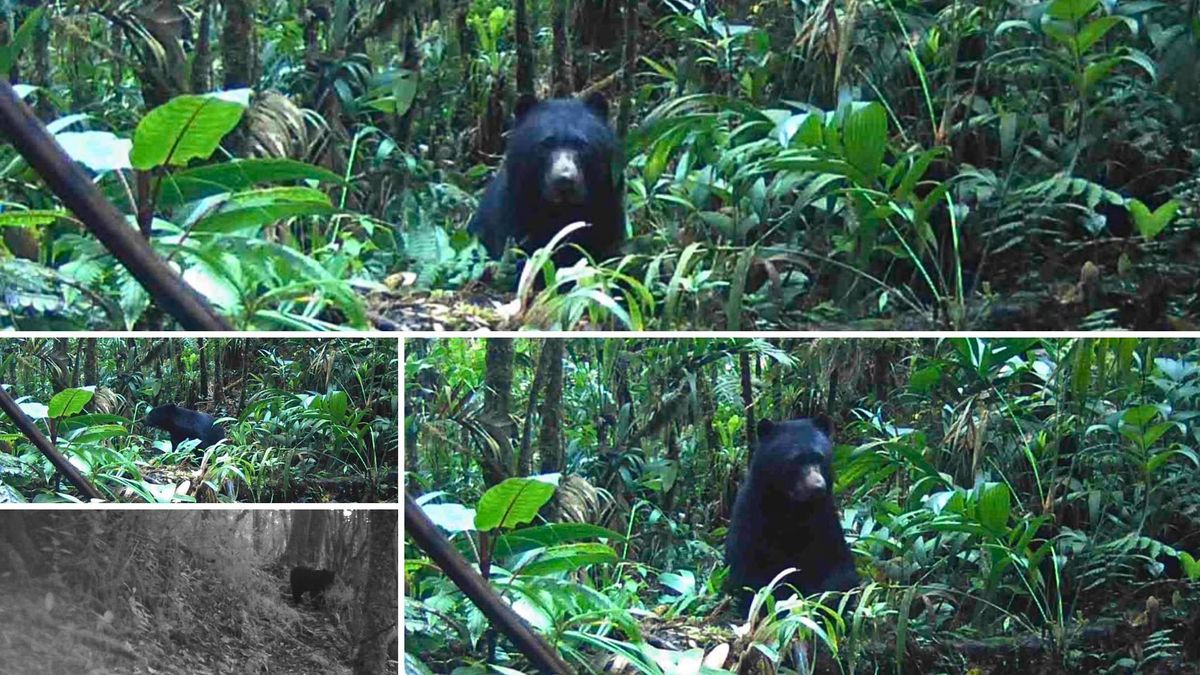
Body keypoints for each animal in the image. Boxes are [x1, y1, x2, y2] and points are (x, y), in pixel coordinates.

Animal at [468, 92, 624, 269]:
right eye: (546, 144)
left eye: (582, 144)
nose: (564, 180)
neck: (562, 211)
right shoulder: (514, 212)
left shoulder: (607, 207)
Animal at [725, 417, 859, 613]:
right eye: (796, 460)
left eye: (819, 457)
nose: (818, 487)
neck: (793, 507)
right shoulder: (751, 517)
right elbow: (751, 576)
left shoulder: (824, 519)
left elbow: (841, 571)